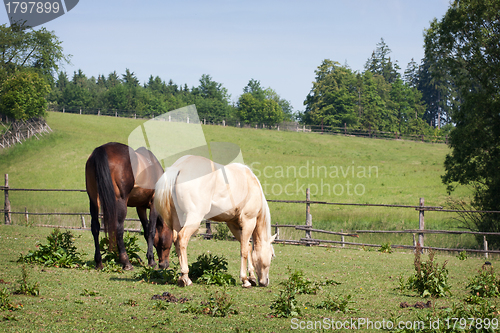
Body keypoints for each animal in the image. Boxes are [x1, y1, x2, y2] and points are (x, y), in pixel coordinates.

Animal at [154, 154, 278, 286]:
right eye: (271, 255)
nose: (265, 282)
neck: (251, 184)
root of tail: (179, 168)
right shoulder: (249, 221)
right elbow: (244, 250)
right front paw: (245, 280)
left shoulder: (233, 224)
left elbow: (248, 246)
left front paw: (252, 277)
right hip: (194, 217)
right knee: (182, 238)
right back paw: (186, 278)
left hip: (177, 218)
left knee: (176, 239)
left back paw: (181, 278)